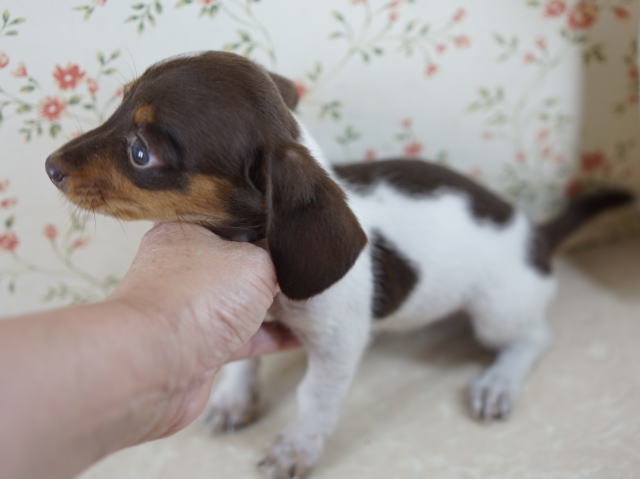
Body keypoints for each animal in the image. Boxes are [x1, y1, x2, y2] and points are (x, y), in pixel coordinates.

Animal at [46, 50, 636, 478]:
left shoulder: (337, 345)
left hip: (497, 311)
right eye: (117, 106)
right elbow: (242, 361)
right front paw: (235, 399)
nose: (49, 166)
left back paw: (499, 382)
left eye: (141, 153)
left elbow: (314, 401)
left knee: (533, 339)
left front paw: (296, 447)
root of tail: (534, 234)